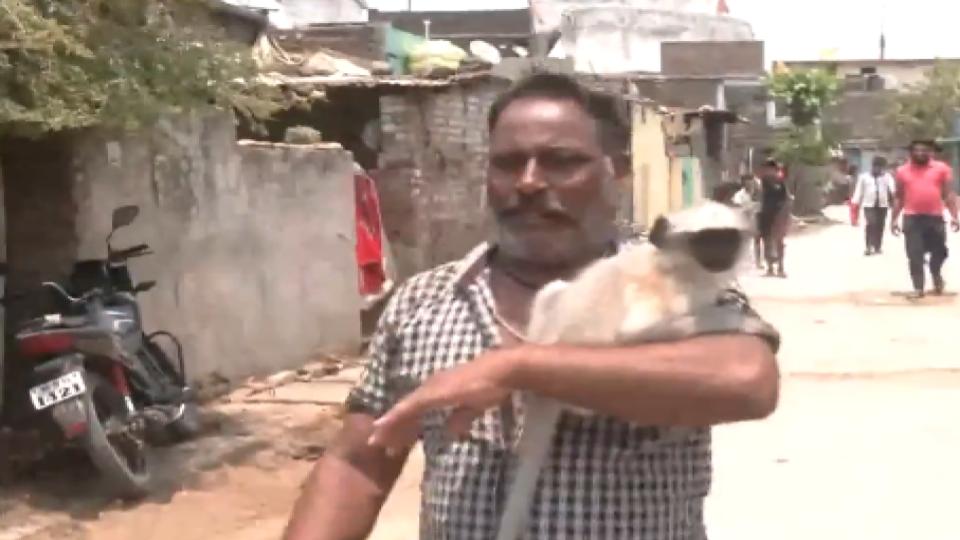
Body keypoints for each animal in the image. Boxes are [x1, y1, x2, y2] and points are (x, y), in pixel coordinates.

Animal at [496, 200, 756, 536]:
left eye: (727, 237)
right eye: (705, 240)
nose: (720, 252)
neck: (674, 263)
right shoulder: (678, 293)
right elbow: (635, 332)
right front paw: (736, 318)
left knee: (553, 289)